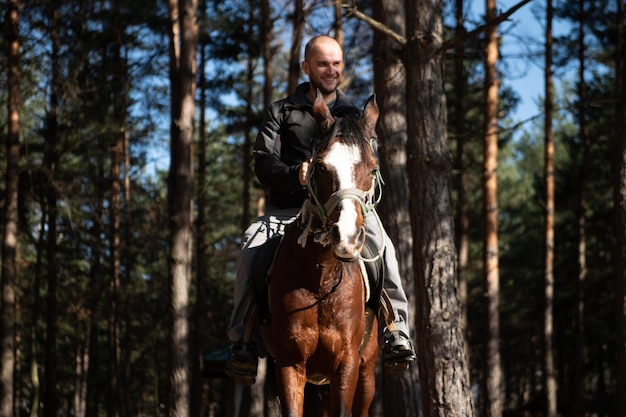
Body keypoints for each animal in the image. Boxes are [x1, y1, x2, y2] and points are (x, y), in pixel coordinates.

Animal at [260, 92, 378, 416]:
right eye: (322, 167)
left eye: (373, 169)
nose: (347, 238)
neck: (321, 281)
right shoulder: (289, 365)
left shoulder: (347, 365)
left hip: (367, 372)